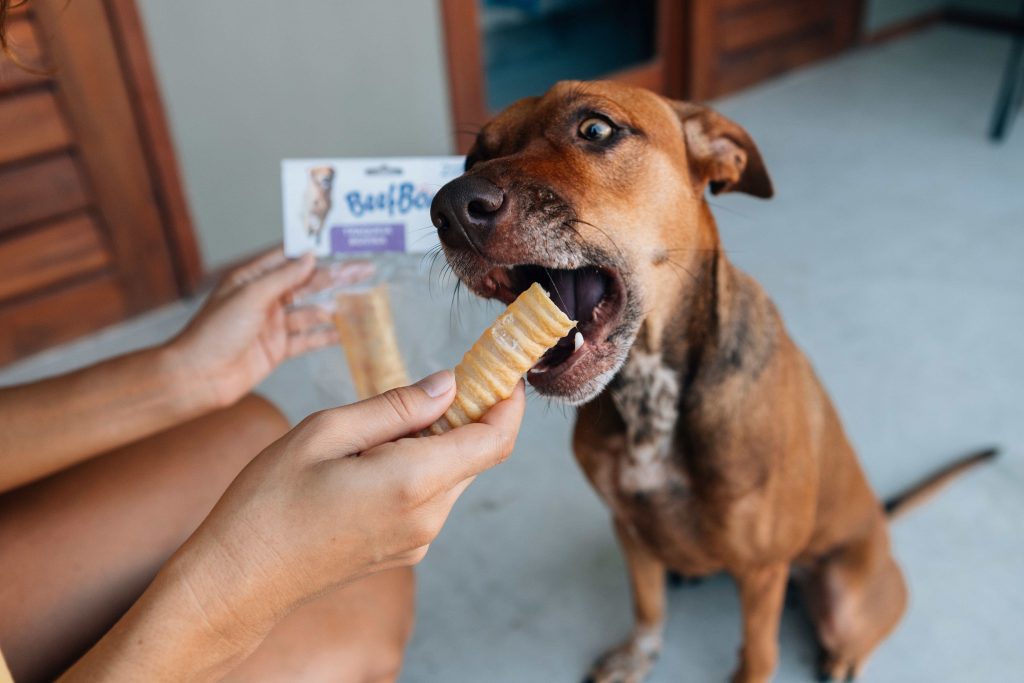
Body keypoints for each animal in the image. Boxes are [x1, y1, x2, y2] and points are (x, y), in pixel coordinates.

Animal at [430, 81, 991, 683]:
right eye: (471, 159)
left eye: (596, 128)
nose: (450, 208)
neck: (649, 387)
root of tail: (881, 519)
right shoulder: (628, 527)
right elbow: (647, 606)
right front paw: (637, 655)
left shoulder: (762, 571)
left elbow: (758, 655)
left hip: (846, 592)